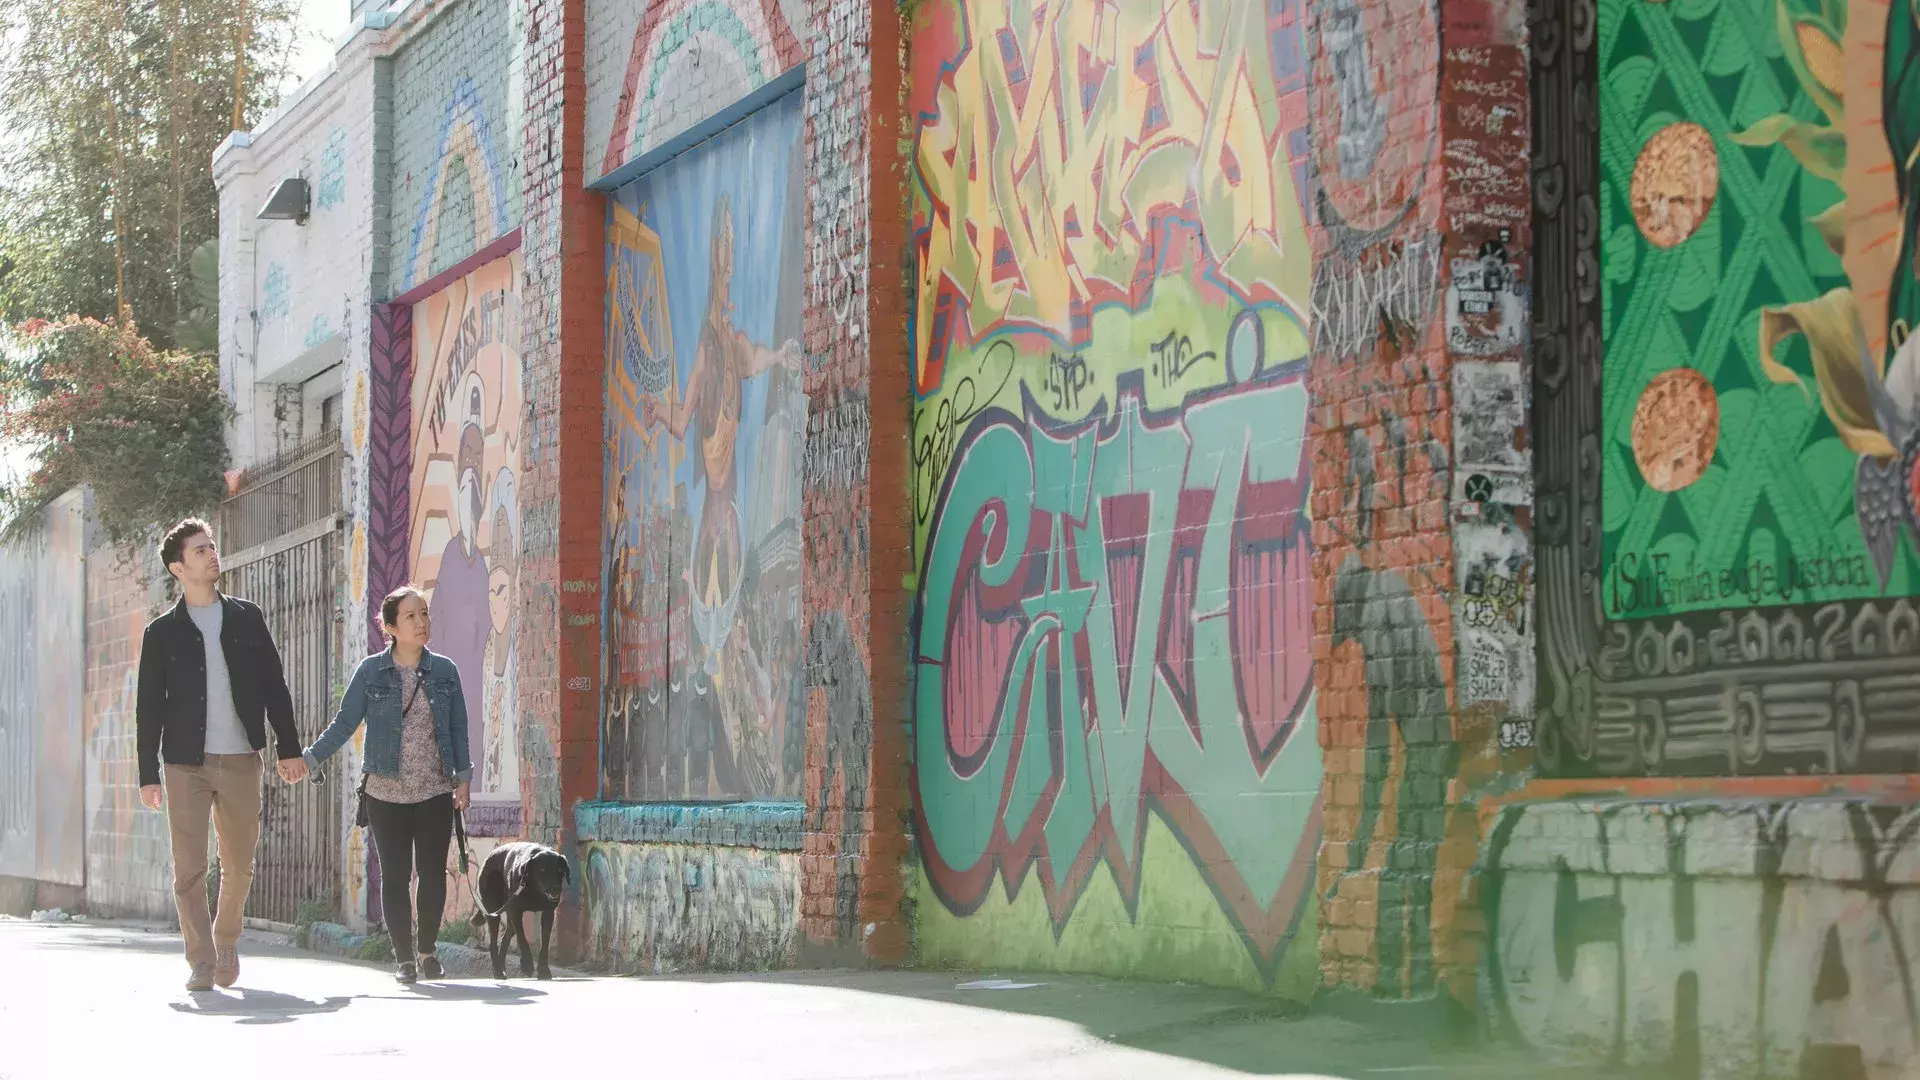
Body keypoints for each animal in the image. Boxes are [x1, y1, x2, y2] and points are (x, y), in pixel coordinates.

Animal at [466, 837, 568, 980]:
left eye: (560, 870)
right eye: (542, 870)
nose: (556, 889)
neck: (535, 890)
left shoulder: (548, 913)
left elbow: (545, 942)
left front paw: (543, 970)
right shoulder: (516, 912)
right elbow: (522, 938)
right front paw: (527, 965)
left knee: (505, 938)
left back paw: (502, 968)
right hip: (494, 912)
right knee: (493, 943)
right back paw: (498, 971)